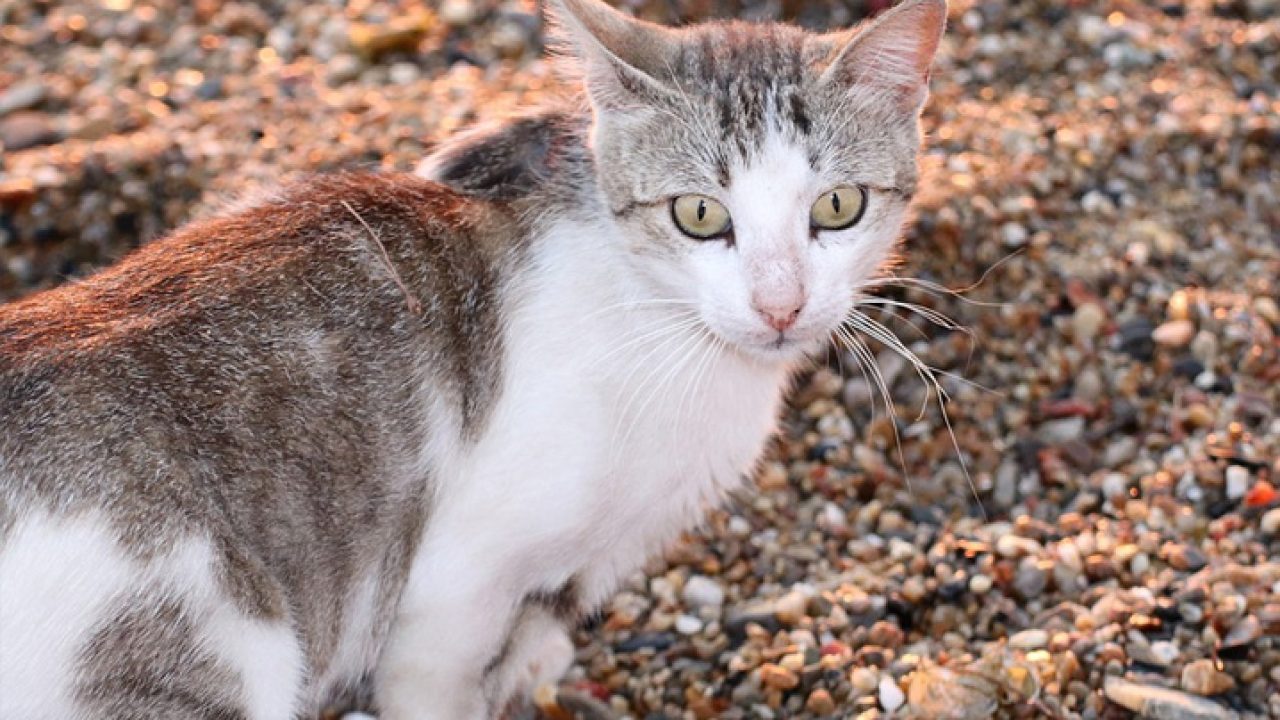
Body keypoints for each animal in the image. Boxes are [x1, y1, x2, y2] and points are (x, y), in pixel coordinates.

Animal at [0, 0, 942, 712]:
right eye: (700, 215)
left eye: (839, 206)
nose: (781, 305)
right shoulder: (456, 579)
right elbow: (438, 680)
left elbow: (539, 626)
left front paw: (530, 668)